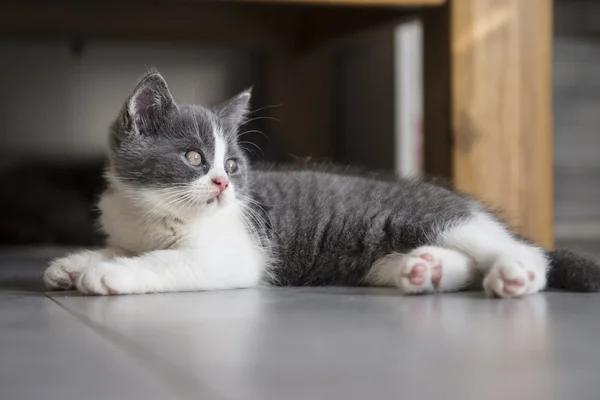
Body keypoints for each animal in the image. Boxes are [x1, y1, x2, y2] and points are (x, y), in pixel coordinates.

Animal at [44, 70, 600, 298]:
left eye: (234, 165)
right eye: (194, 157)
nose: (223, 184)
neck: (157, 213)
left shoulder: (231, 255)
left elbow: (165, 262)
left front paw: (108, 274)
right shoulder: (130, 225)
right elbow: (122, 247)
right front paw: (74, 264)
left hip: (430, 216)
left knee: (515, 247)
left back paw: (515, 274)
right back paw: (423, 269)